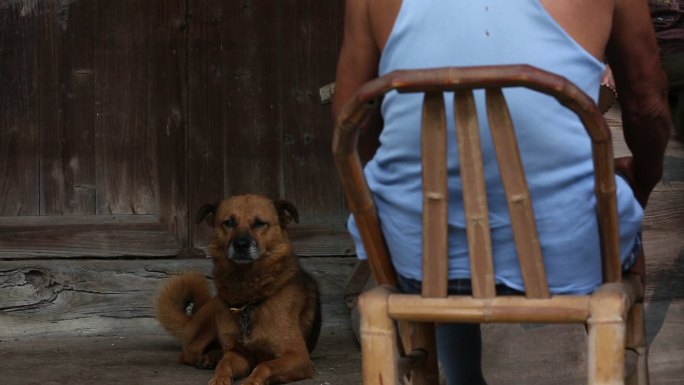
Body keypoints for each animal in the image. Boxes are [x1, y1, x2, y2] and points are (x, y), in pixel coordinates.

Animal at [156, 195, 322, 384]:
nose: (241, 244)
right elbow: (225, 363)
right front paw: (219, 378)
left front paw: (251, 380)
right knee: (188, 353)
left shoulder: (298, 356)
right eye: (229, 222)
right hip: (212, 322)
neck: (248, 301)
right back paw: (207, 359)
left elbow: (265, 365)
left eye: (260, 223)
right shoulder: (238, 353)